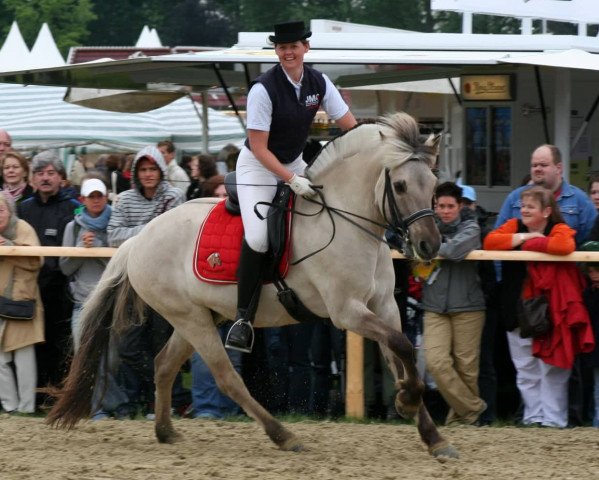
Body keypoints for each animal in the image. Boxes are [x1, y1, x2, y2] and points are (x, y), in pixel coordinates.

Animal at [48, 111, 460, 458]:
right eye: (401, 185)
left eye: (433, 183)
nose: (429, 245)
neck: (347, 222)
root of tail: (138, 239)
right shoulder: (348, 312)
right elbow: (402, 346)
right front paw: (407, 400)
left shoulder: (383, 307)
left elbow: (400, 352)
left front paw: (431, 434)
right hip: (192, 319)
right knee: (226, 378)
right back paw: (283, 435)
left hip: (200, 316)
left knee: (164, 365)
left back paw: (166, 431)